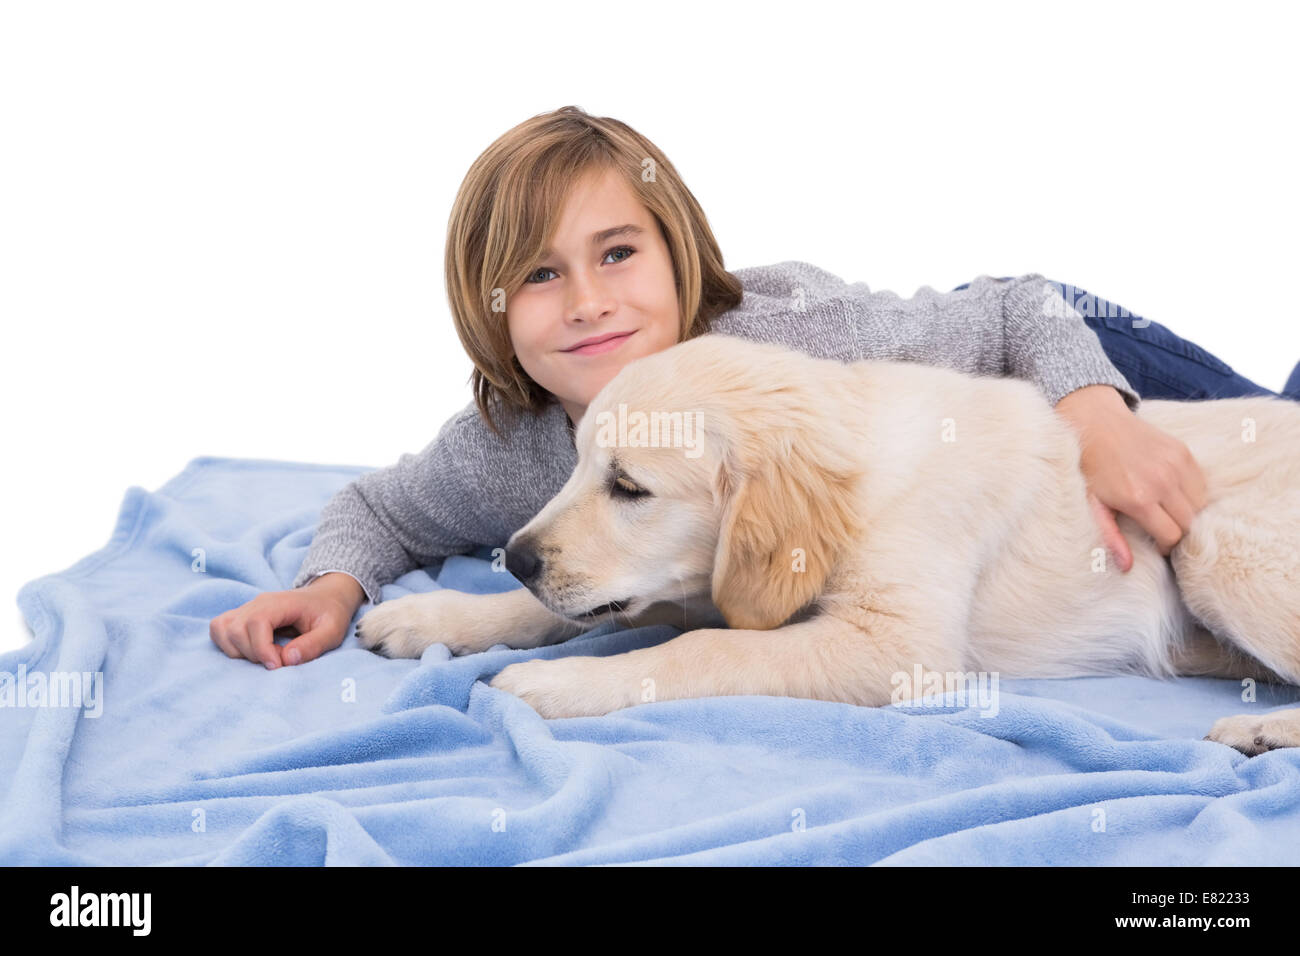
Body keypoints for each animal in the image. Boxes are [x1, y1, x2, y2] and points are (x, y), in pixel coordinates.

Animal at [356, 335, 1300, 754]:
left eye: (629, 487)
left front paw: (557, 685)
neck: (856, 475)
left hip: (1209, 546)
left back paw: (1260, 729)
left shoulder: (896, 648)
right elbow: (547, 613)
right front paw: (435, 617)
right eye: (581, 461)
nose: (516, 555)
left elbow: (703, 652)